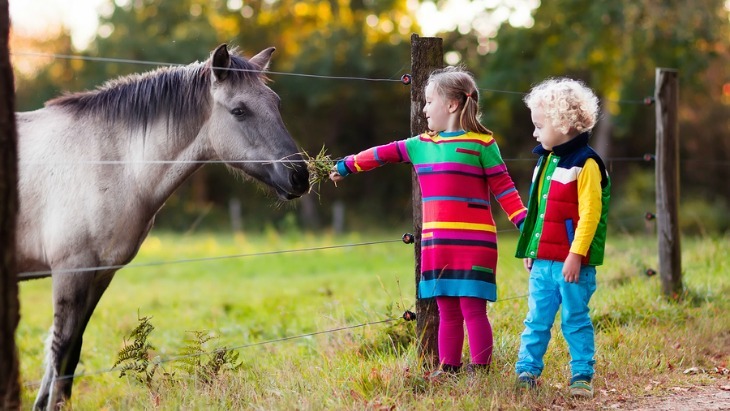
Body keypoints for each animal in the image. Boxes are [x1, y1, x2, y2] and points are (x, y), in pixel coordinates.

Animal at [16, 43, 308, 410]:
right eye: (239, 111)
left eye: (276, 104)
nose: (300, 176)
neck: (107, 161)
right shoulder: (71, 271)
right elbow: (60, 351)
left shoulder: (99, 274)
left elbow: (71, 352)